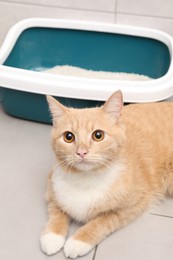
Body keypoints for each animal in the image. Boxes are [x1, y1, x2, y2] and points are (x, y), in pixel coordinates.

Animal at [40, 91, 173, 258]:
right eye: (68, 137)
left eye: (98, 135)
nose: (81, 152)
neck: (86, 179)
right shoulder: (51, 189)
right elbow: (57, 211)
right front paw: (52, 236)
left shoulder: (134, 205)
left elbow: (101, 221)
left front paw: (78, 241)